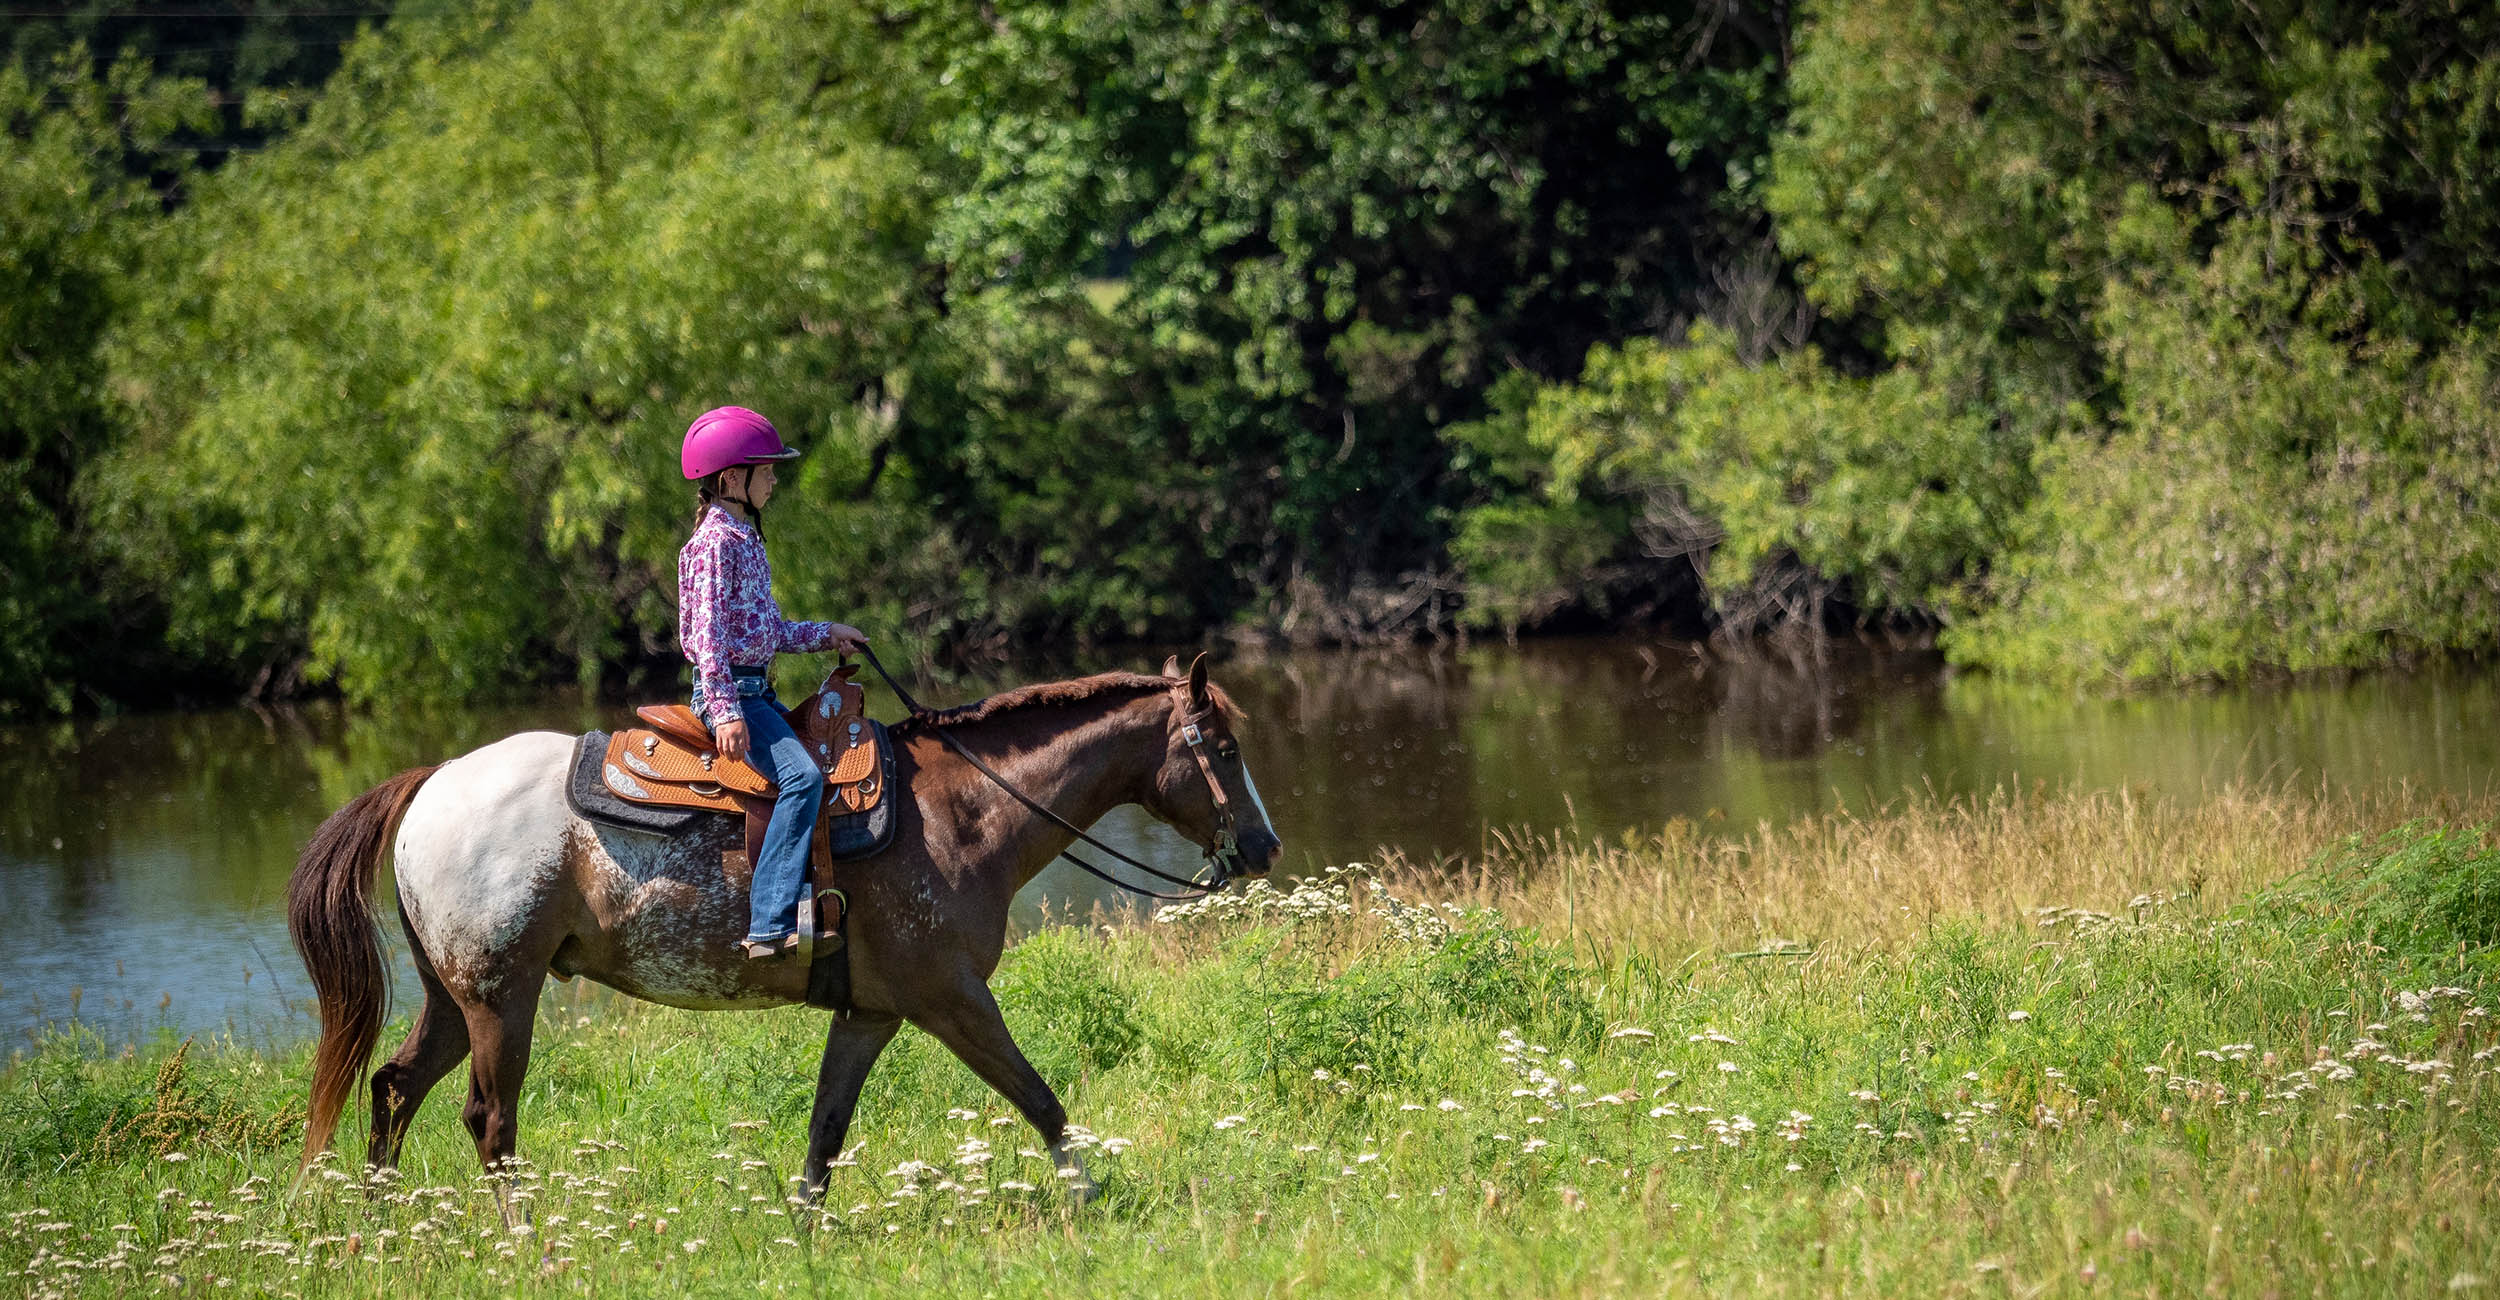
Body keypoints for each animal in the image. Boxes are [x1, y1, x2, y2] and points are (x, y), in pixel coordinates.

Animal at [285, 654, 1278, 1216]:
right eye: (1226, 751)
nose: (1265, 847)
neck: (963, 813)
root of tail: (429, 782)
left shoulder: (873, 1011)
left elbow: (826, 1125)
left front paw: (804, 1228)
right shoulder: (951, 997)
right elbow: (1041, 1099)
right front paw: (1091, 1200)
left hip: (455, 998)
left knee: (393, 1088)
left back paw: (382, 1229)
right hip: (503, 997)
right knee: (489, 1122)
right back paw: (527, 1243)